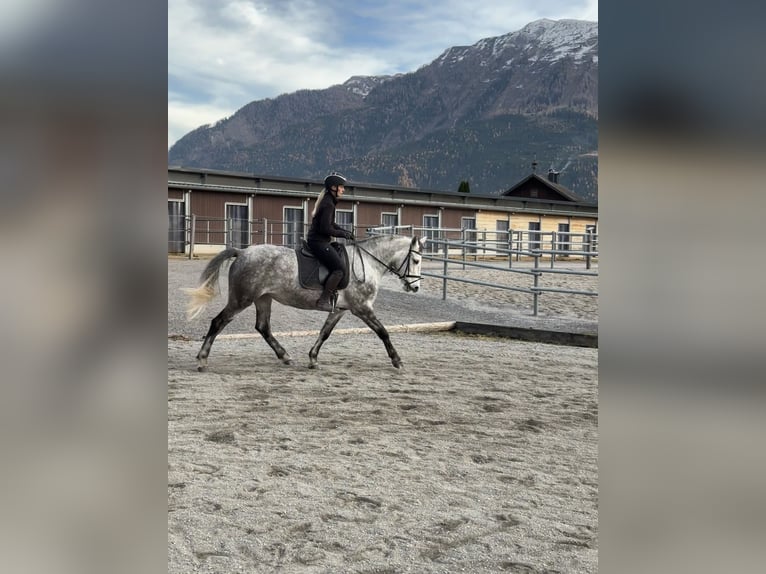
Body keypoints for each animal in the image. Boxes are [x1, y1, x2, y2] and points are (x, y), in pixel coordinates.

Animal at [184, 234, 426, 371]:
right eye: (415, 260)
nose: (415, 288)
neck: (367, 262)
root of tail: (242, 252)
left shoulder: (340, 309)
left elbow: (325, 333)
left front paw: (313, 359)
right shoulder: (362, 308)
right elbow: (383, 332)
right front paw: (397, 360)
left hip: (263, 299)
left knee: (263, 327)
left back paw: (285, 357)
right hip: (241, 299)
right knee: (218, 322)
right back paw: (202, 360)